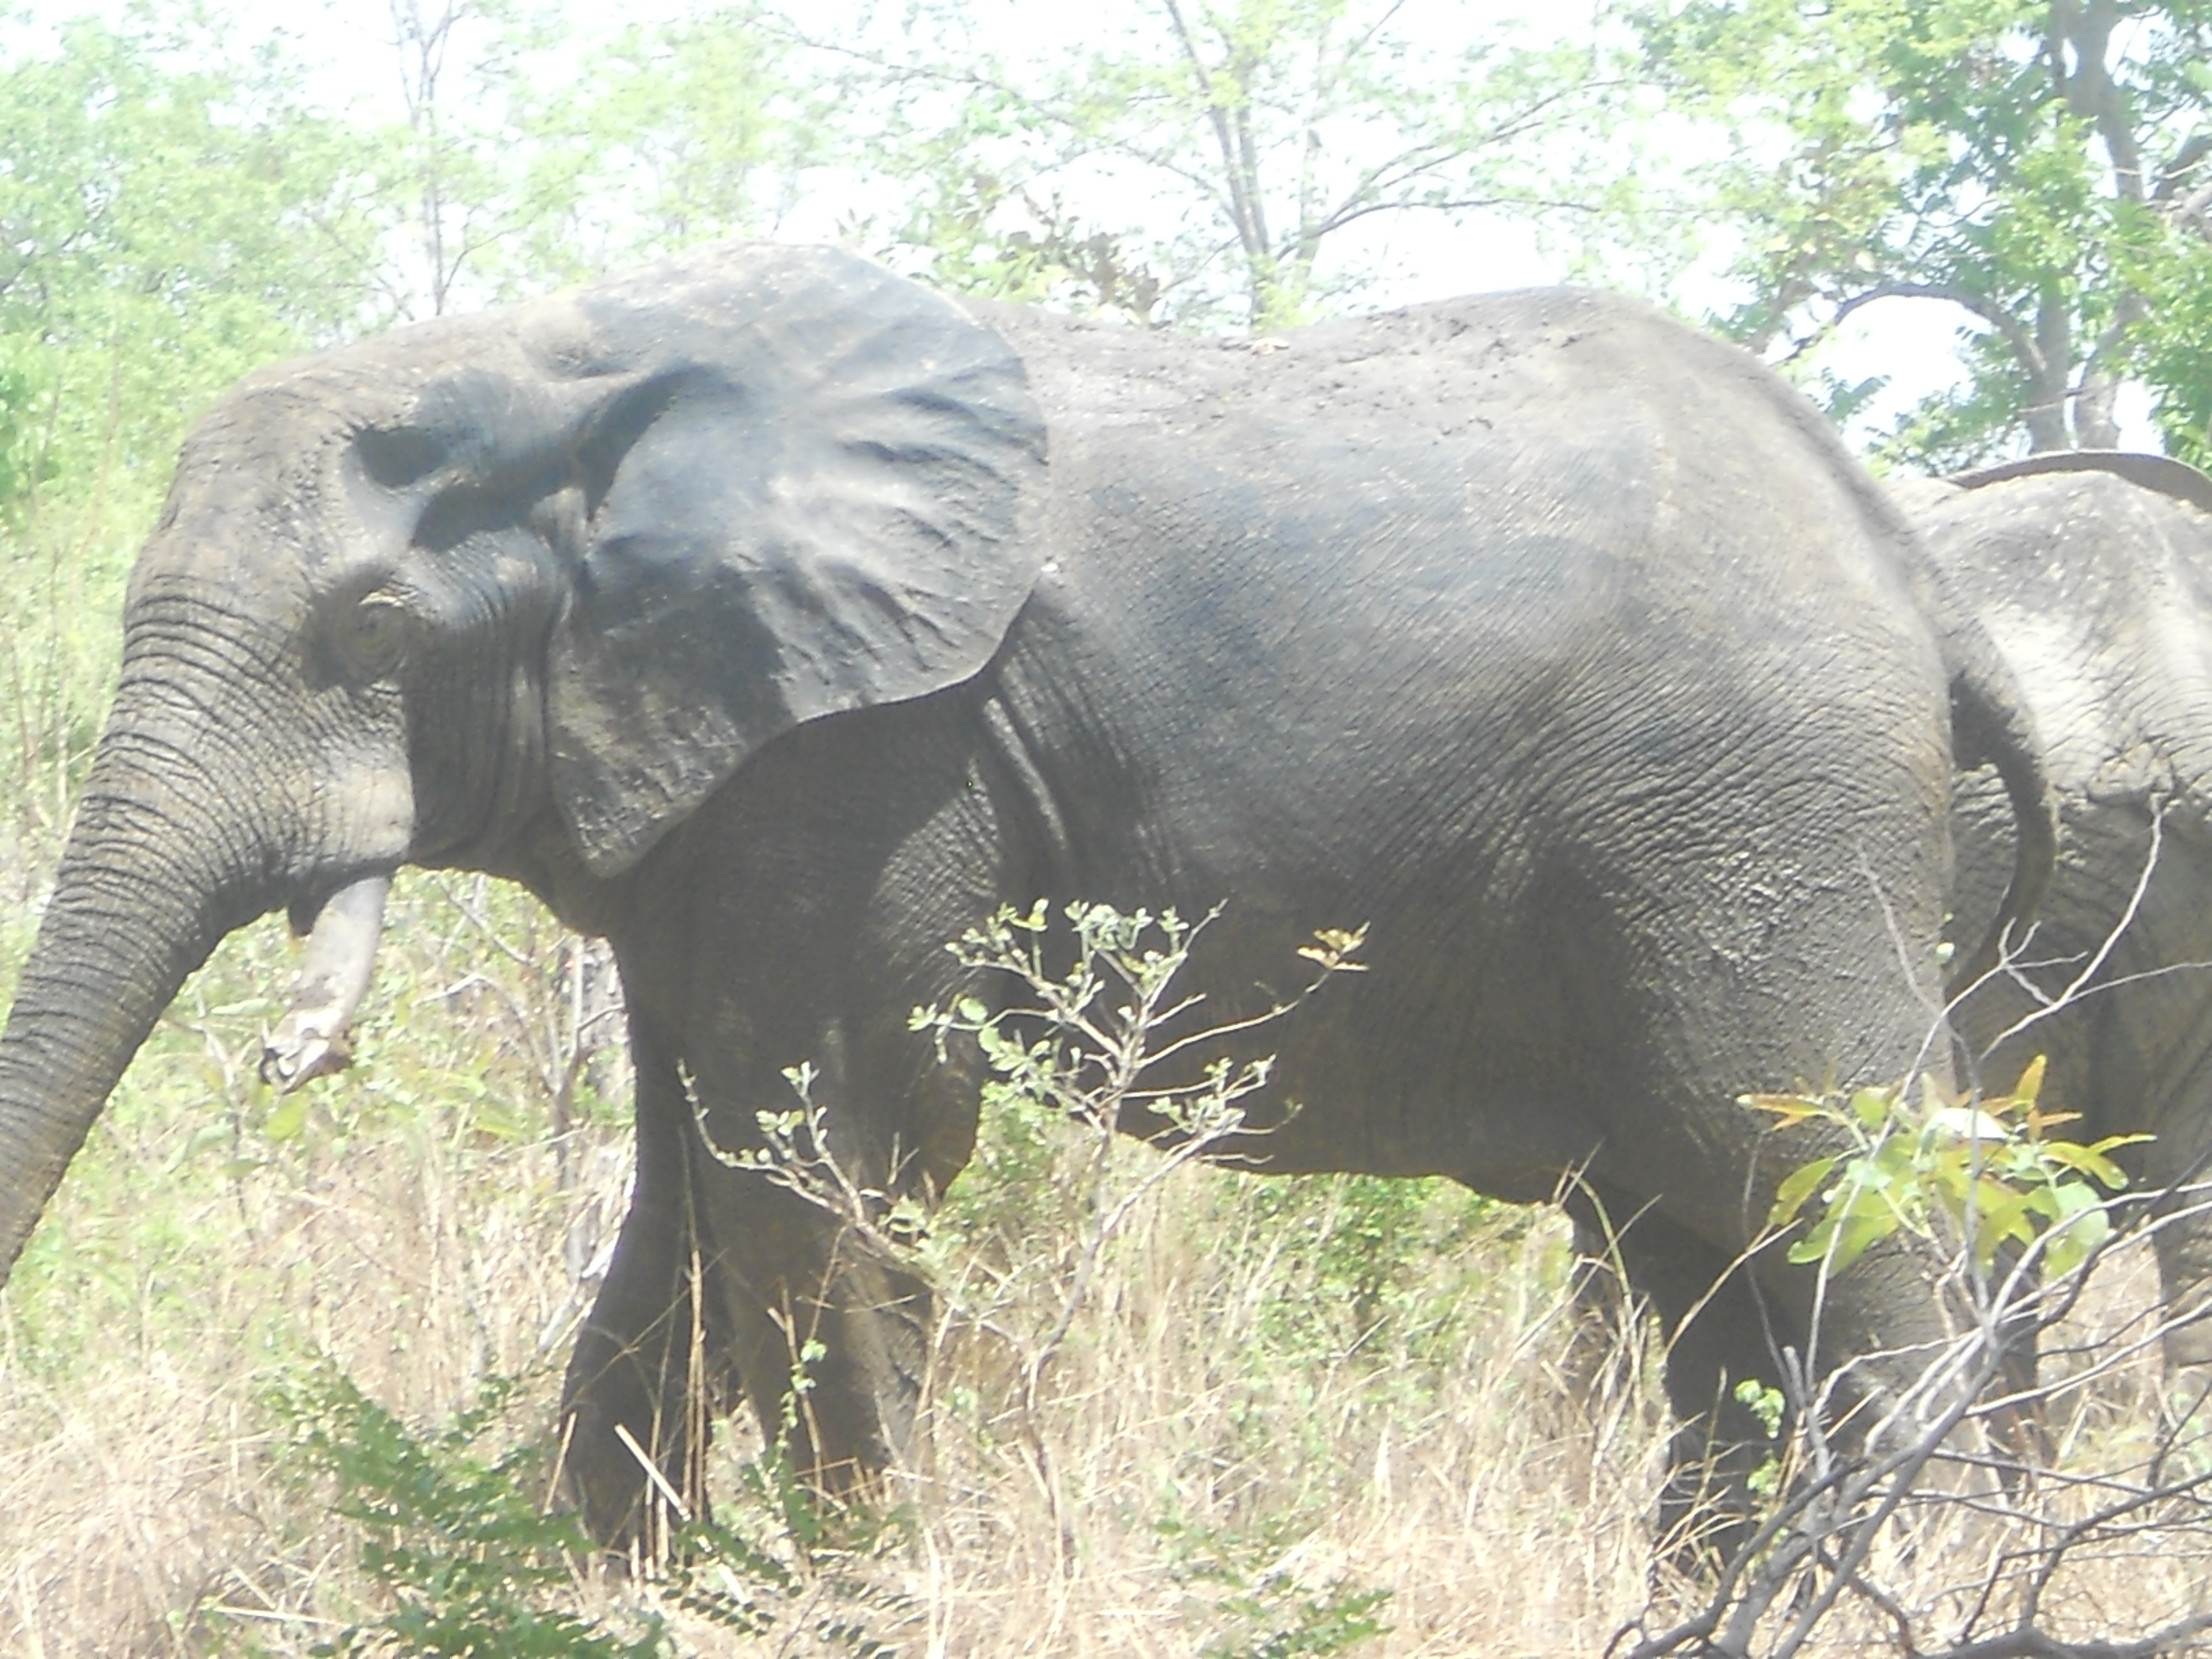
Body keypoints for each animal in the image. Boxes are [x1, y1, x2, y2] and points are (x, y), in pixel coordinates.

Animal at [0, 240, 2044, 1557]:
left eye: (370, 628)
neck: (564, 355)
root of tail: (1924, 574)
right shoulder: (717, 767)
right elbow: (685, 1203)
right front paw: (578, 1593)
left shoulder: (877, 751)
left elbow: (818, 1172)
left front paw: (883, 1592)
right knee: (1707, 1267)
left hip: (1760, 823)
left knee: (1837, 1203)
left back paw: (1912, 1581)